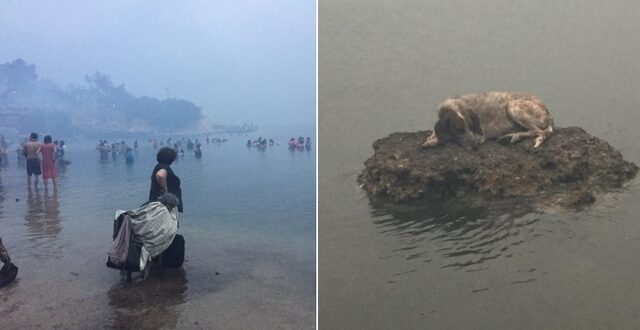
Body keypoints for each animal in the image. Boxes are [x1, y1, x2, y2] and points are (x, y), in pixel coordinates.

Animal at [422, 93, 552, 150]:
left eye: (471, 126)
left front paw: (433, 141)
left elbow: (446, 138)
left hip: (512, 106)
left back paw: (514, 135)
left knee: (539, 131)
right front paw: (432, 137)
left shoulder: (479, 135)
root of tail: (549, 115)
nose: (475, 145)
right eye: (458, 129)